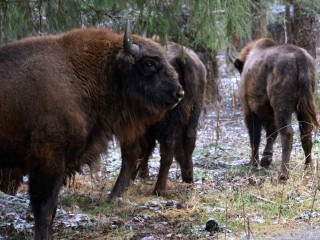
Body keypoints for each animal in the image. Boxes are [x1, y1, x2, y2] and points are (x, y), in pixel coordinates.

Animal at [109, 40, 206, 199]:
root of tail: (183, 58)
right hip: (194, 112)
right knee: (188, 141)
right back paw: (187, 178)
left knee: (166, 150)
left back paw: (158, 189)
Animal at [229, 37, 318, 180]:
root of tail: (300, 57)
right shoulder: (271, 114)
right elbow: (271, 133)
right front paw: (266, 159)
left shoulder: (249, 110)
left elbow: (255, 137)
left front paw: (253, 163)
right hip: (302, 108)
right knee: (306, 134)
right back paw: (307, 168)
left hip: (282, 107)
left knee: (287, 133)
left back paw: (283, 174)